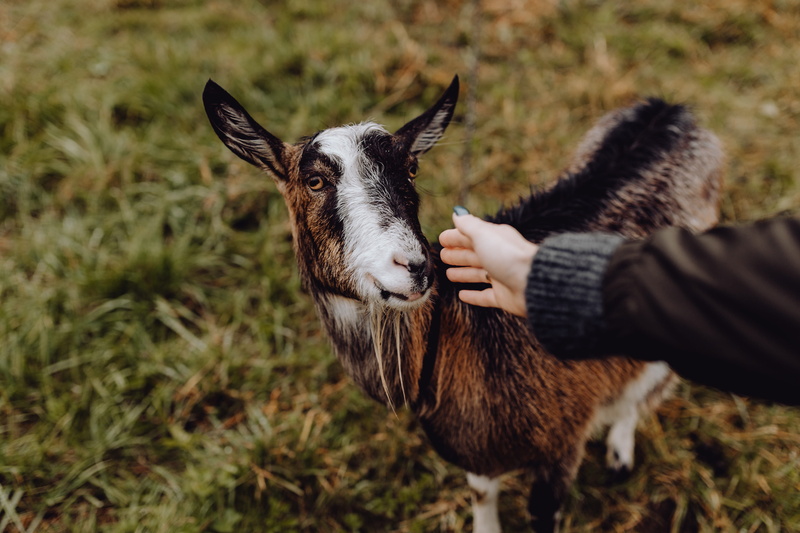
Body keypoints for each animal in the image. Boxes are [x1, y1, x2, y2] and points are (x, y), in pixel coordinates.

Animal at [202, 76, 723, 532]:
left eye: (411, 169)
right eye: (314, 181)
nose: (414, 266)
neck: (459, 340)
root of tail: (669, 109)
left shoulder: (562, 443)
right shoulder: (475, 448)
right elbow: (480, 490)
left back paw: (619, 450)